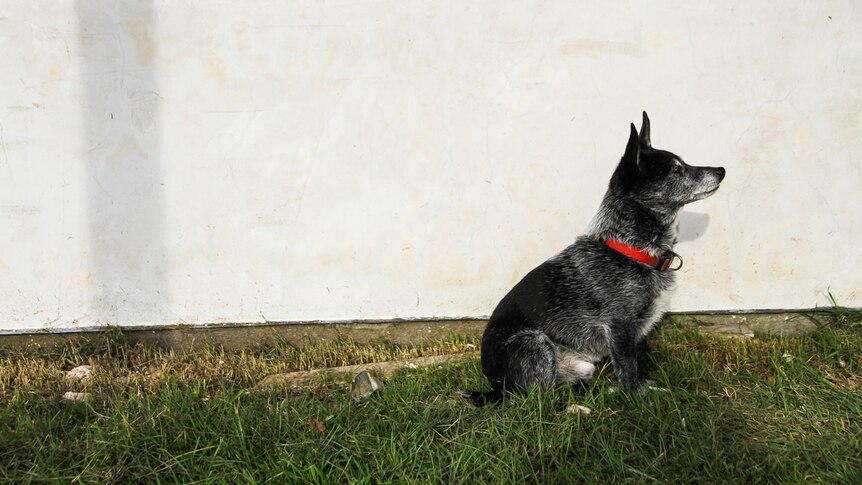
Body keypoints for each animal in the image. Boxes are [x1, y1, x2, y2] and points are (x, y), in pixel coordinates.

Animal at [470, 111, 724, 402]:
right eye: (676, 169)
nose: (721, 170)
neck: (631, 249)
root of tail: (495, 387)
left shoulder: (637, 332)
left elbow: (637, 363)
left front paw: (644, 388)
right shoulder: (620, 326)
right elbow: (627, 368)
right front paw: (636, 398)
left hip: (582, 366)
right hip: (535, 343)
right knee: (541, 397)